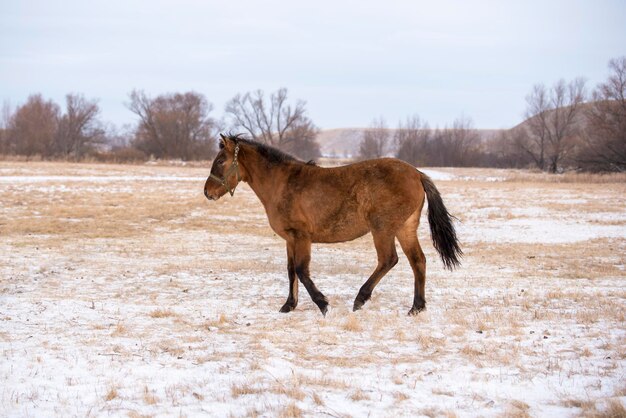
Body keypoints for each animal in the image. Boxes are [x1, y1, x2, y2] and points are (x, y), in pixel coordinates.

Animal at [202, 132, 460, 316]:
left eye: (221, 161)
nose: (207, 192)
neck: (282, 183)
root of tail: (417, 174)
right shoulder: (290, 239)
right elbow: (290, 271)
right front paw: (289, 305)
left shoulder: (301, 237)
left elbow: (301, 270)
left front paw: (322, 304)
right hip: (405, 228)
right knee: (418, 261)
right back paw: (416, 307)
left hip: (383, 228)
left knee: (389, 259)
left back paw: (360, 298)